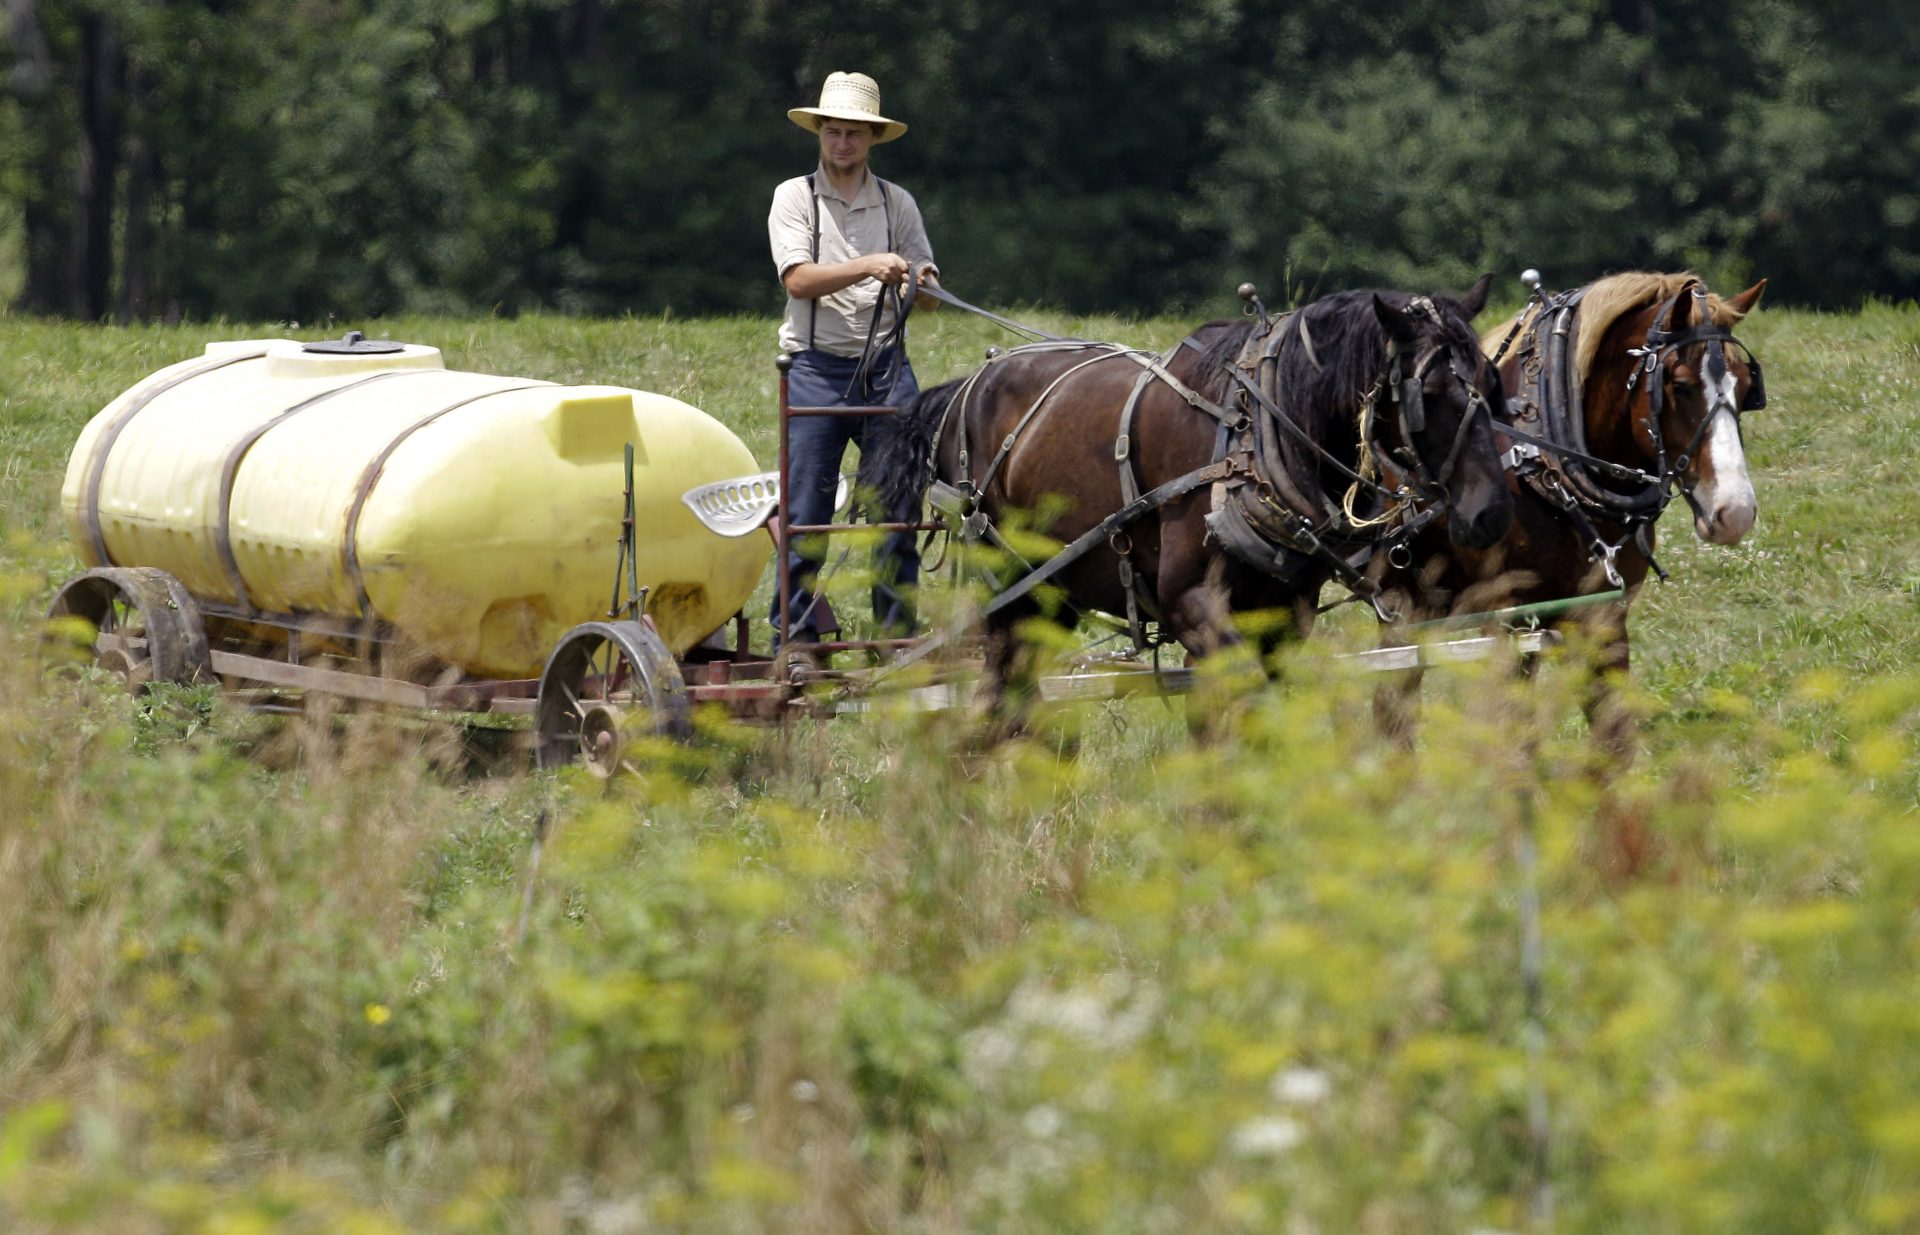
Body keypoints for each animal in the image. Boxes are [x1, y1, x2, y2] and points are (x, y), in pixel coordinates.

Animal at [867, 282, 1512, 718]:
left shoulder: (1282, 617)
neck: (1254, 437)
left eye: (1492, 382)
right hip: (1006, 583)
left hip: (1053, 592)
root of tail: (964, 387)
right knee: (1001, 692)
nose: (1490, 512)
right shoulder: (1190, 603)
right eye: (1429, 393)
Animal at [1382, 274, 1766, 756]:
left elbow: (1613, 743)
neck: (1541, 460)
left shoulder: (1601, 620)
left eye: (1747, 386)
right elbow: (1515, 741)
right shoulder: (1509, 621)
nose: (1736, 511)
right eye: (1678, 385)